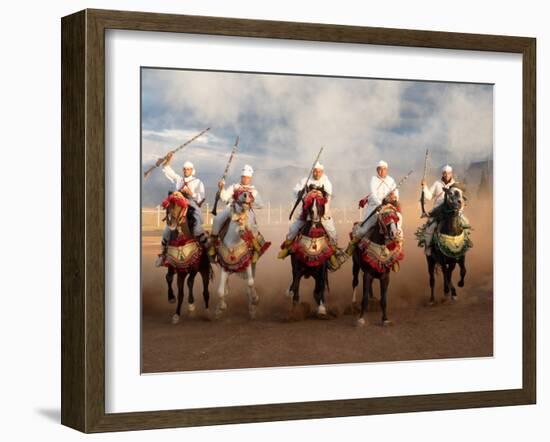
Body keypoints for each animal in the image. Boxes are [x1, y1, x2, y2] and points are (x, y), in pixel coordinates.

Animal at [161, 192, 212, 322]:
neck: (181, 240)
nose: (172, 222)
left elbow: (190, 282)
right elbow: (176, 288)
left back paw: (207, 311)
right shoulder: (178, 269)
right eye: (168, 205)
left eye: (180, 206)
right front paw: (176, 312)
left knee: (204, 290)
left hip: (204, 270)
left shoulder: (194, 267)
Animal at [212, 188, 270, 320]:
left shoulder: (247, 263)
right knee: (227, 287)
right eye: (237, 193)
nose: (246, 195)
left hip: (253, 264)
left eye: (250, 193)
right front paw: (220, 309)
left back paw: (252, 308)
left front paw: (255, 300)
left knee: (250, 284)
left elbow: (250, 283)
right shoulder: (225, 266)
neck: (234, 242)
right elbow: (220, 291)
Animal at [286, 186, 338, 318]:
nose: (314, 214)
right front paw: (294, 311)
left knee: (317, 289)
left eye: (320, 200)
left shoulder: (321, 268)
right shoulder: (297, 268)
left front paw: (322, 309)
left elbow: (321, 288)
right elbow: (296, 287)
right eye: (307, 201)